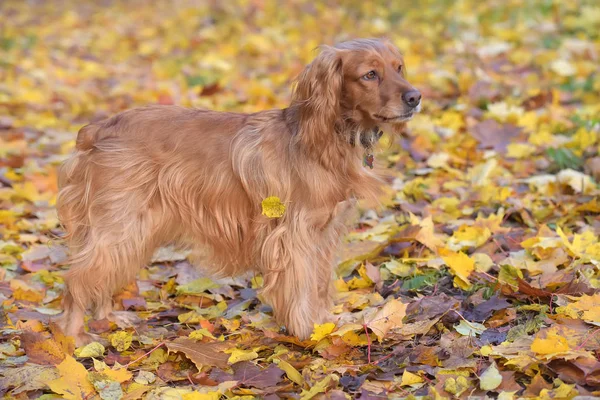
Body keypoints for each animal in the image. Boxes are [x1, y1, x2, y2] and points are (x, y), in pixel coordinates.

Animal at [57, 37, 422, 346]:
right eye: (370, 74)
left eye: (399, 67)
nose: (415, 97)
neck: (323, 138)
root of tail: (99, 129)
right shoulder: (295, 235)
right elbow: (301, 286)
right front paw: (307, 331)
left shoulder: (324, 234)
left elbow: (319, 284)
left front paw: (324, 323)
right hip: (122, 223)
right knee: (78, 277)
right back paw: (76, 337)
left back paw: (108, 317)